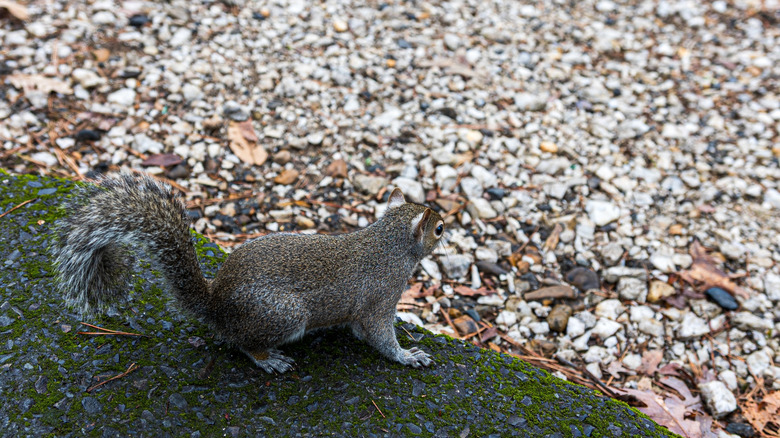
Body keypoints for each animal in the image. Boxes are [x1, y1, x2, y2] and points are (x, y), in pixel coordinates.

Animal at [53, 174, 444, 372]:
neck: (387, 242)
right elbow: (379, 336)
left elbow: (361, 331)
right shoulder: (381, 298)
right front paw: (408, 356)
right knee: (242, 343)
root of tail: (216, 306)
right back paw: (269, 359)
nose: (447, 229)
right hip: (285, 314)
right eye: (438, 229)